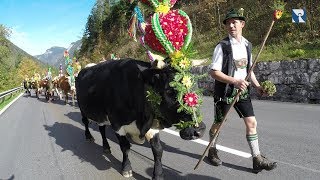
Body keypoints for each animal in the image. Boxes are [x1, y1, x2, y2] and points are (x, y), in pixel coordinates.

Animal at [75, 58, 205, 179]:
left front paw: (158, 175)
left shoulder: (152, 125)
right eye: (169, 91)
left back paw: (106, 147)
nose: (199, 130)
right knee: (86, 122)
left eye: (196, 88)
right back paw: (89, 137)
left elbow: (158, 150)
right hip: (83, 109)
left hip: (100, 114)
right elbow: (125, 147)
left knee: (101, 129)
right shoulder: (117, 124)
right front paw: (126, 169)